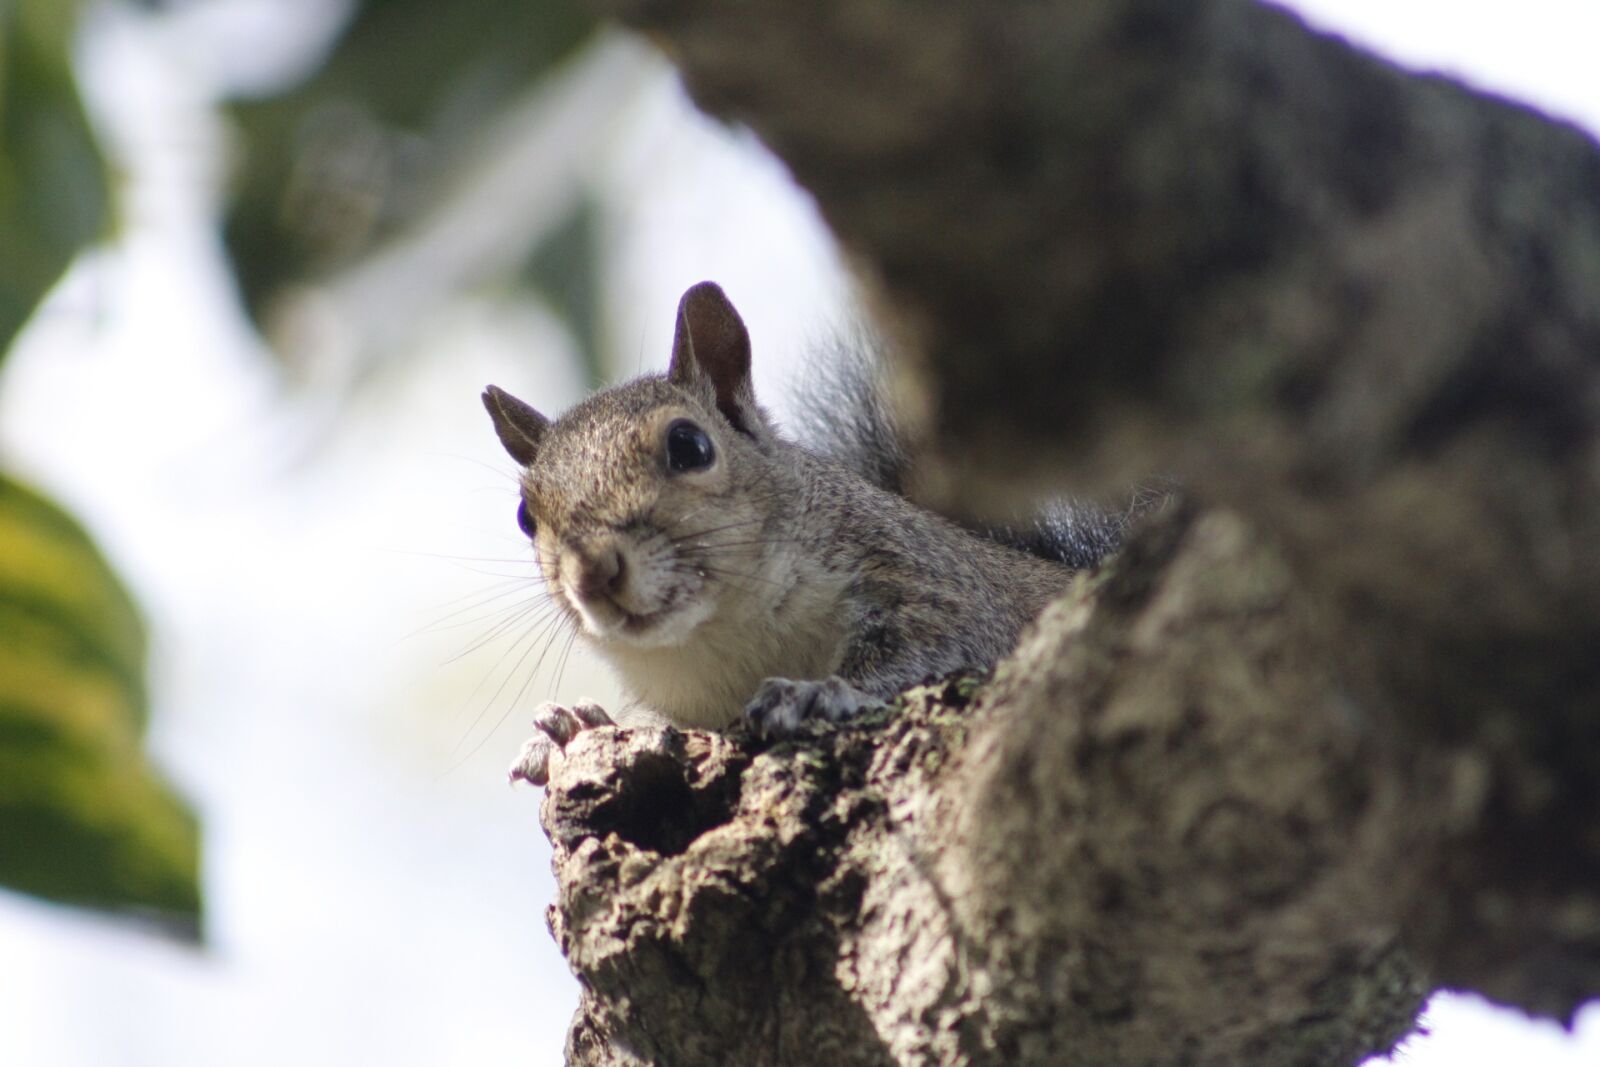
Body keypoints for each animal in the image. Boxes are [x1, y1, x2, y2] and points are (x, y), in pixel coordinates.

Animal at [483, 281, 1125, 786]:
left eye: (689, 445)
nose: (594, 570)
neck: (724, 636)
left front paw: (819, 691)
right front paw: (578, 726)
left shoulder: (938, 584)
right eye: (524, 516)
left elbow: (943, 644)